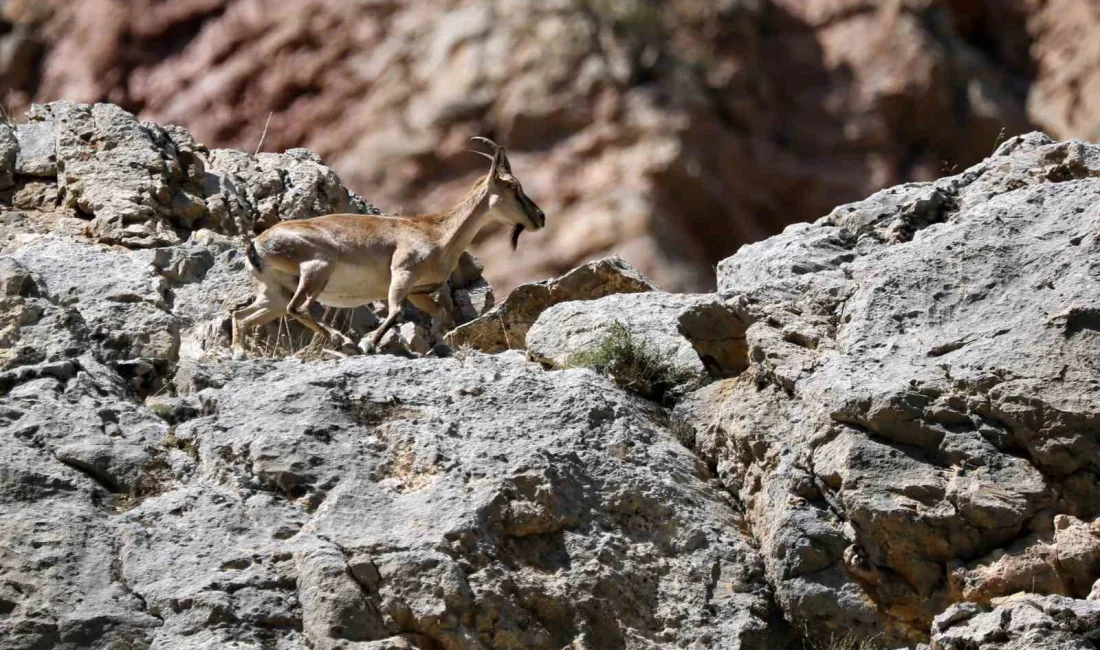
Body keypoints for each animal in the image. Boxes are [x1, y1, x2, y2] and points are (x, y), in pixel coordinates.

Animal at [228, 138, 545, 358]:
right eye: (513, 186)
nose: (540, 217)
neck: (439, 235)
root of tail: (256, 245)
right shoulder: (402, 273)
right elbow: (395, 312)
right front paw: (369, 343)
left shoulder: (418, 291)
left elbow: (438, 313)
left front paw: (439, 347)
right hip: (317, 268)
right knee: (299, 306)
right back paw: (345, 341)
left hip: (273, 292)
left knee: (243, 316)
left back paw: (240, 352)